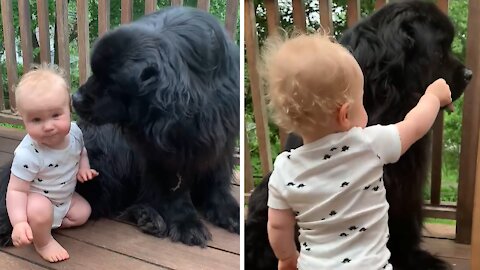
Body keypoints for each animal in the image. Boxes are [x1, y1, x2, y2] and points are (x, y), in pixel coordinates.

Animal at [0, 6, 240, 248]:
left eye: (112, 82)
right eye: (95, 71)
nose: (75, 98)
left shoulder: (221, 137)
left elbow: (217, 178)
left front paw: (229, 211)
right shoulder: (163, 151)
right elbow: (175, 186)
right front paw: (186, 222)